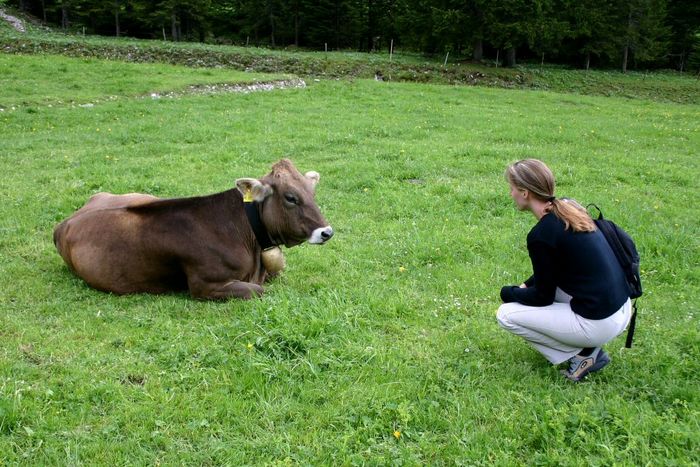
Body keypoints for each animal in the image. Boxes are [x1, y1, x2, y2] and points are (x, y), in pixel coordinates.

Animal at [54, 160, 334, 300]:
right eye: (291, 197)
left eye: (312, 192)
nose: (326, 232)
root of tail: (65, 222)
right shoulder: (205, 286)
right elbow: (258, 290)